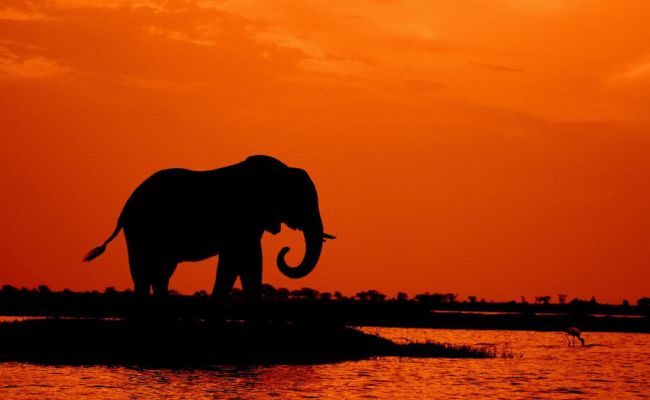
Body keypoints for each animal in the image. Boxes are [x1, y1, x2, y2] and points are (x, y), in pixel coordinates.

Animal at [83, 155, 334, 304]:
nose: (286, 250)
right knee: (143, 272)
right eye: (302, 202)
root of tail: (125, 207)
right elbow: (242, 259)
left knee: (161, 272)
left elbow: (243, 261)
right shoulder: (241, 218)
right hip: (140, 230)